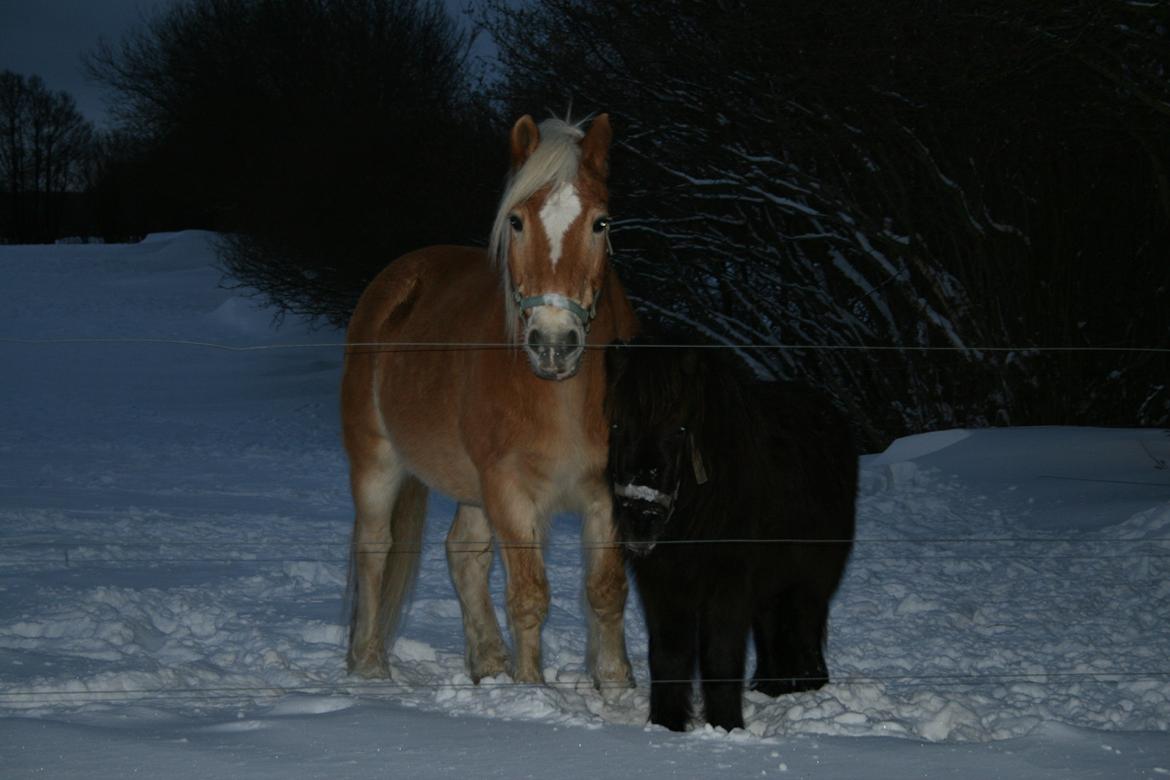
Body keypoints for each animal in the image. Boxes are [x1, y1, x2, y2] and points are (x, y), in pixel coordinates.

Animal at [341, 112, 636, 687]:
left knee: (464, 553)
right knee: (375, 547)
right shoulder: (510, 491)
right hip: (376, 460)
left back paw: (489, 664)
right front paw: (530, 690)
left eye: (601, 223)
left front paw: (616, 688)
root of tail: (396, 281)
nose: (553, 342)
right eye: (517, 221)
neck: (563, 397)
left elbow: (606, 592)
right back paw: (369, 665)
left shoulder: (607, 492)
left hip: (470, 485)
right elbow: (529, 597)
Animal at [608, 336, 856, 734]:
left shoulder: (728, 584)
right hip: (771, 584)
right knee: (771, 628)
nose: (640, 519)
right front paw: (666, 726)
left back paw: (808, 685)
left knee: (803, 624)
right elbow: (668, 655)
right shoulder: (662, 583)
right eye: (616, 424)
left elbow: (721, 656)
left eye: (680, 428)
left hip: (812, 579)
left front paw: (726, 726)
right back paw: (771, 686)